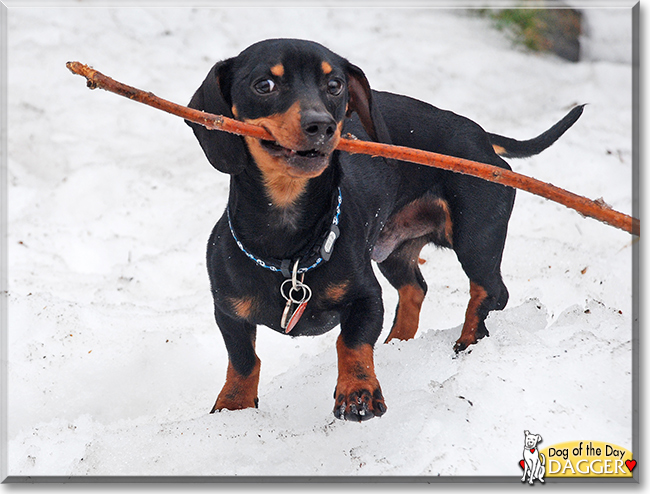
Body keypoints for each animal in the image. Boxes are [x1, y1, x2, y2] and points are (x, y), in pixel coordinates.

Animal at [184, 38, 584, 420]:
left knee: (490, 292)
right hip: (393, 250)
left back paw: (468, 341)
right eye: (264, 85)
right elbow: (243, 360)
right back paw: (398, 344)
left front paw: (357, 393)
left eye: (335, 85)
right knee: (415, 289)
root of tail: (481, 138)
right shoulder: (228, 312)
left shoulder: (366, 297)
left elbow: (351, 343)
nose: (321, 126)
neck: (289, 246)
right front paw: (234, 406)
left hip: (476, 236)